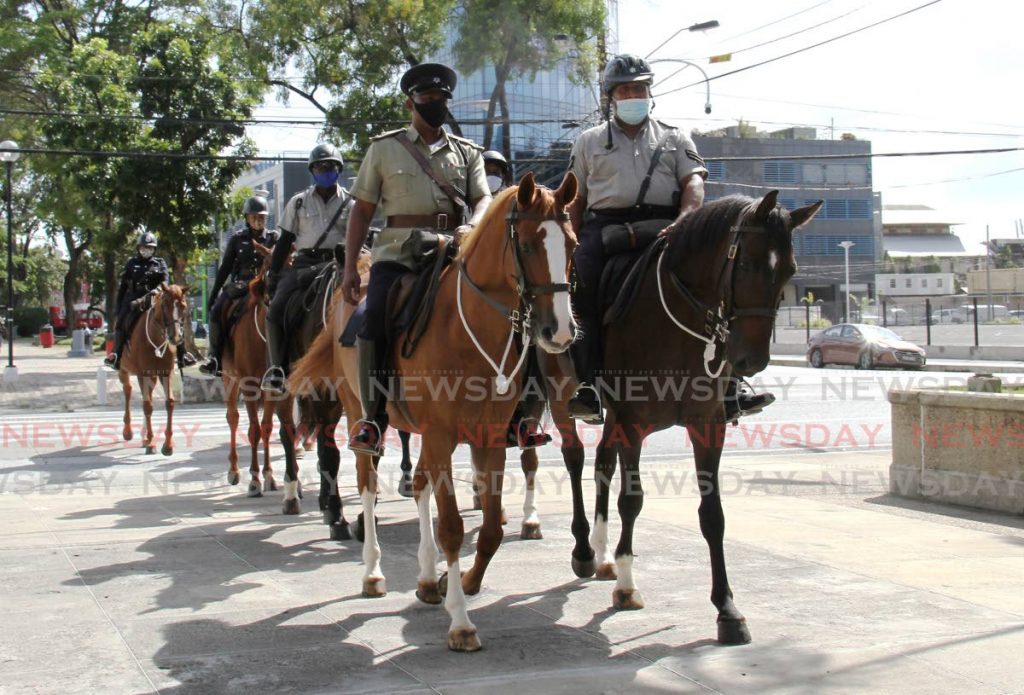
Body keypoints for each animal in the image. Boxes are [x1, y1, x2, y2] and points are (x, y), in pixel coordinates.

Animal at [117, 282, 188, 456]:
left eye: (183, 306)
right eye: (165, 304)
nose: (176, 337)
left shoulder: (166, 373)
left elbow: (169, 403)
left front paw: (167, 445)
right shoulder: (143, 373)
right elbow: (147, 406)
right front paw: (151, 442)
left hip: (152, 376)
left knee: (145, 394)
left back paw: (143, 437)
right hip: (124, 370)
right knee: (128, 390)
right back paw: (128, 431)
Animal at [573, 191, 819, 646]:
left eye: (791, 270)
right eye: (747, 264)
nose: (751, 359)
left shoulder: (708, 425)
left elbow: (712, 515)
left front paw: (727, 609)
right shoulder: (632, 423)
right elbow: (631, 500)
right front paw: (628, 585)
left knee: (601, 464)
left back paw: (600, 552)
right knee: (575, 459)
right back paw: (584, 550)